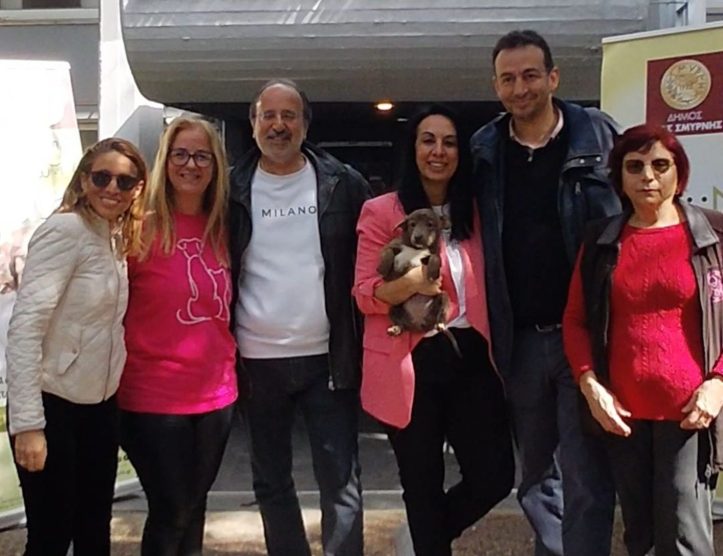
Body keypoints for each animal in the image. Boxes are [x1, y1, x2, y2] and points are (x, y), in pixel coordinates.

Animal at [377, 208, 458, 351]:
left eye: (430, 224)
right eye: (412, 224)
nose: (418, 237)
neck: (415, 249)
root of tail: (419, 324)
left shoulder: (431, 254)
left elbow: (435, 258)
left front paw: (433, 272)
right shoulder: (394, 249)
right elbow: (387, 252)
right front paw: (383, 267)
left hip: (443, 297)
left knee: (441, 313)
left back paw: (440, 324)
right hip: (394, 307)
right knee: (401, 324)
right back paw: (395, 328)